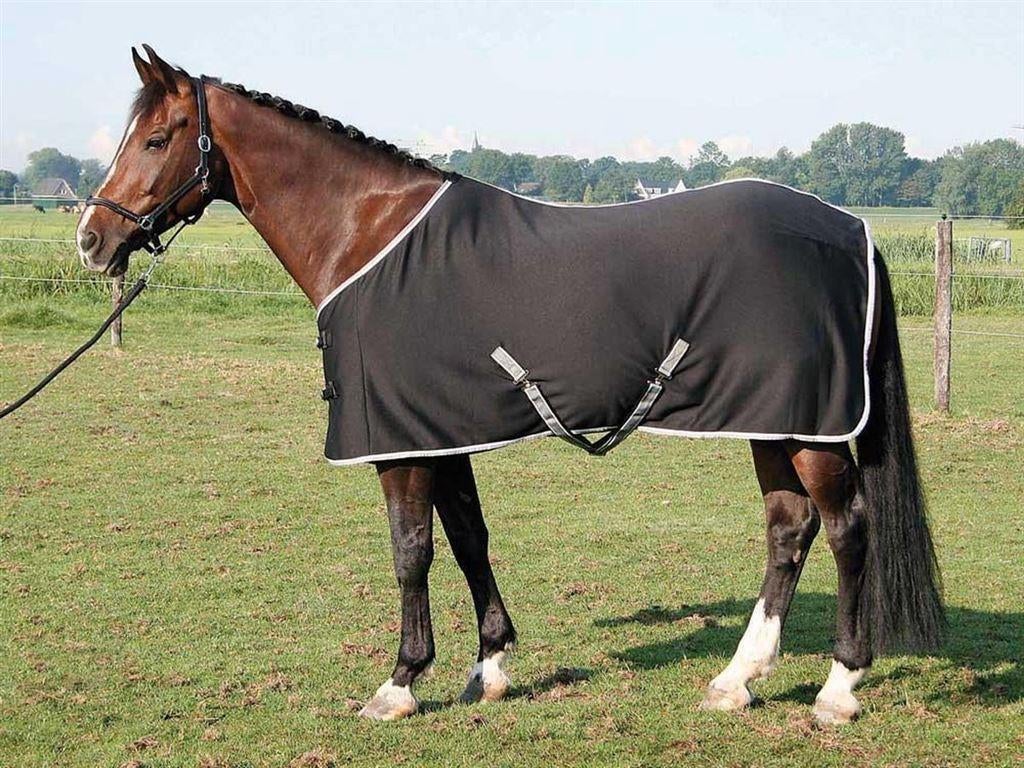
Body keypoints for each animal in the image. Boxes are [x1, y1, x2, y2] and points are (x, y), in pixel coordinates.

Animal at [75, 46, 944, 724]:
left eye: (156, 138)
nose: (91, 239)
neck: (370, 235)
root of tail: (850, 227)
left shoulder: (402, 444)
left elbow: (411, 551)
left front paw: (400, 683)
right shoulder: (439, 428)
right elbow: (468, 538)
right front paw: (489, 666)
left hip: (808, 426)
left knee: (847, 529)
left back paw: (838, 689)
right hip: (769, 421)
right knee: (788, 529)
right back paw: (737, 680)